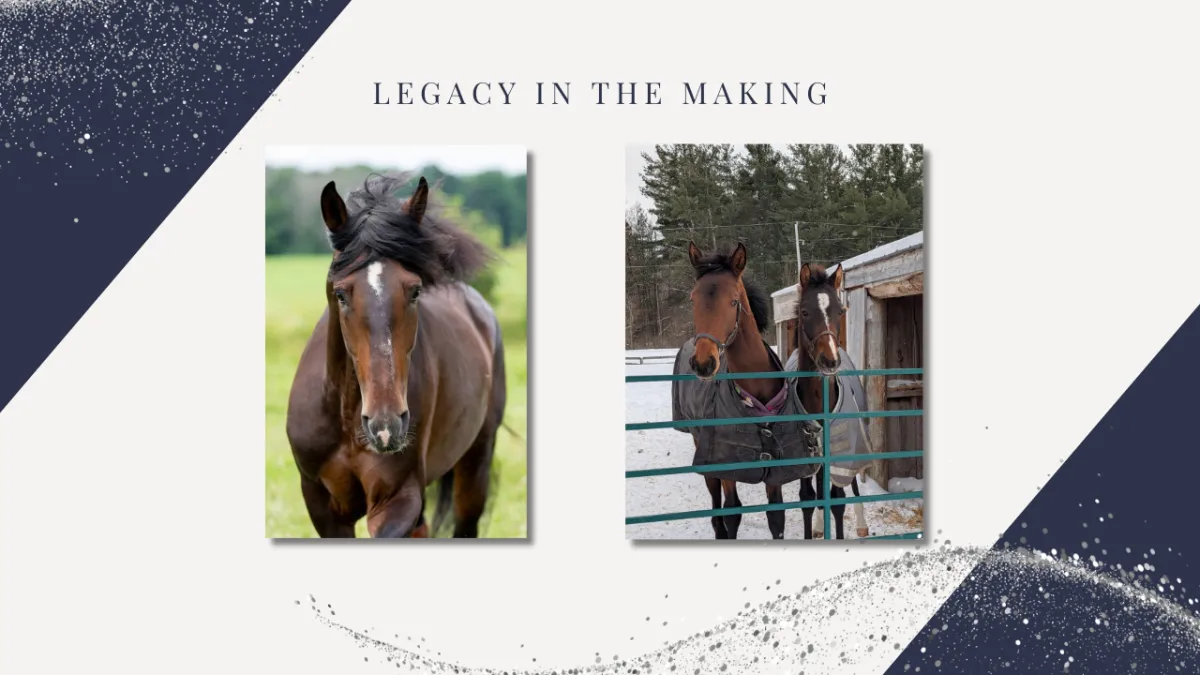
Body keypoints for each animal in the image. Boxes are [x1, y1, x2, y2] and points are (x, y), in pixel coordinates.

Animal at [285, 173, 506, 538]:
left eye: (415, 291)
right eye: (341, 294)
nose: (385, 427)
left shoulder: (397, 499)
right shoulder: (322, 506)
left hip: (476, 461)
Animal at [790, 262, 869, 540]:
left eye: (840, 310)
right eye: (804, 312)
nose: (829, 361)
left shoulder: (841, 452)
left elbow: (837, 500)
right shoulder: (805, 456)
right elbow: (808, 499)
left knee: (852, 483)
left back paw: (862, 524)